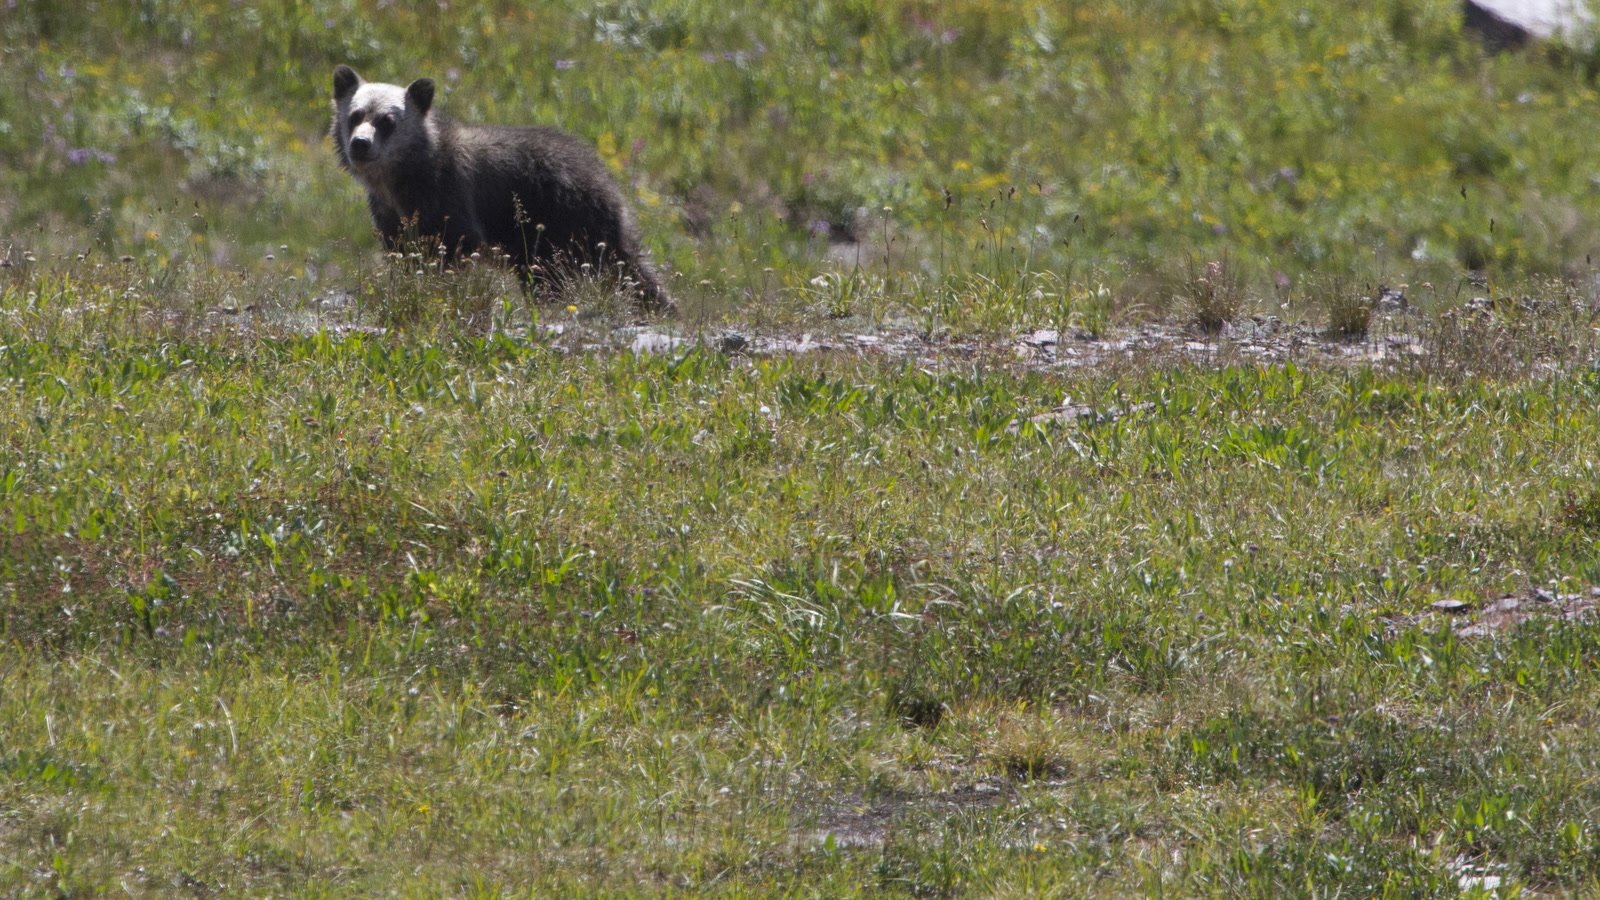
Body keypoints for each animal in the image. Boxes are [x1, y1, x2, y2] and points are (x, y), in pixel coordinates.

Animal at [330, 64, 670, 310]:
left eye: (387, 121)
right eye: (355, 115)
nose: (360, 144)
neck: (401, 179)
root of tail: (608, 181)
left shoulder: (448, 197)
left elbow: (453, 245)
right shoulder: (388, 213)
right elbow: (403, 252)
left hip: (557, 222)